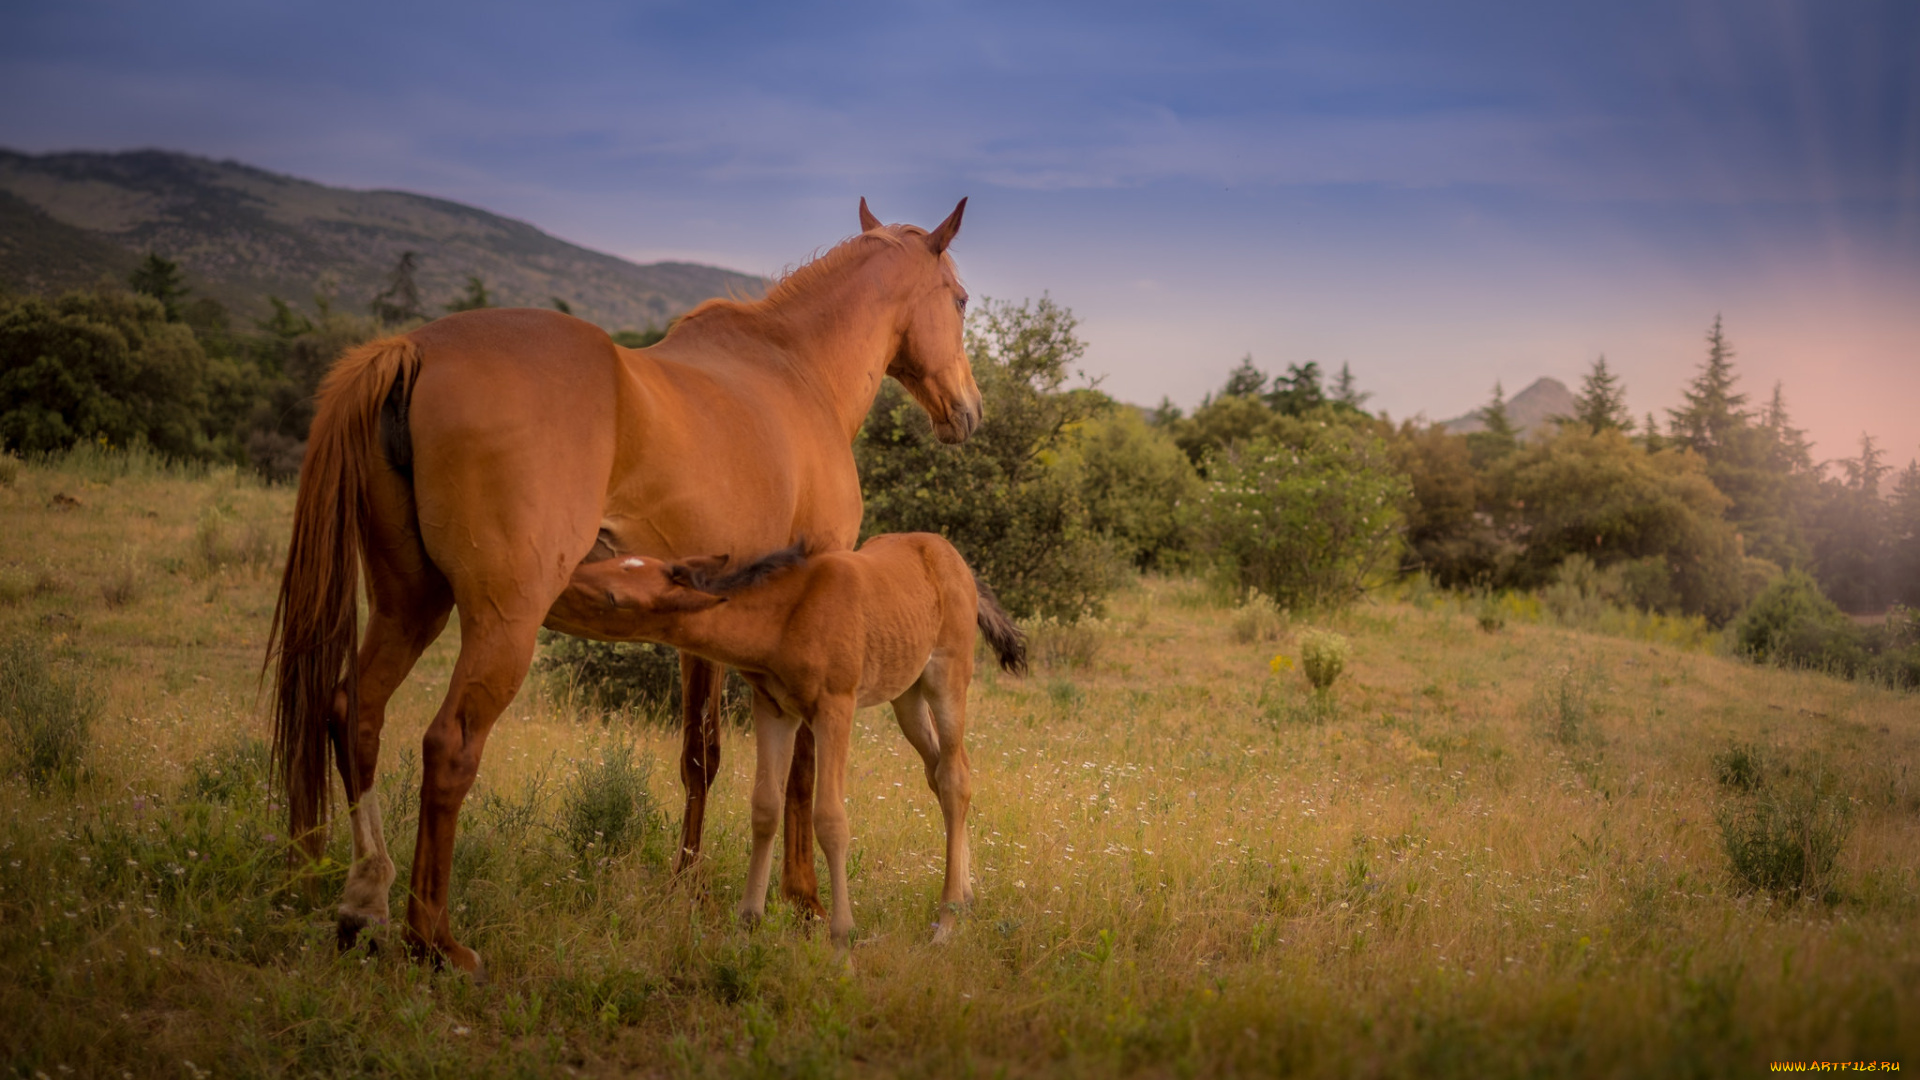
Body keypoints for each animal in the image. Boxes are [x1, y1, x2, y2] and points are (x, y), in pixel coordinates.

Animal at [266, 197, 975, 972]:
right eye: (961, 300)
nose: (967, 410)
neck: (796, 372)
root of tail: (417, 349)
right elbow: (803, 770)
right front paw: (806, 902)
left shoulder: (712, 623)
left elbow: (702, 755)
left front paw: (689, 889)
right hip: (501, 622)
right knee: (448, 746)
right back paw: (437, 940)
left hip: (408, 603)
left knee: (354, 713)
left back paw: (365, 901)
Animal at [549, 530, 1029, 941]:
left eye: (615, 598)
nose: (558, 589)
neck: (786, 617)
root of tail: (959, 563)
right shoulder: (773, 709)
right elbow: (764, 806)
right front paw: (748, 921)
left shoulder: (835, 708)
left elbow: (830, 818)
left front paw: (841, 936)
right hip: (905, 695)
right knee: (940, 772)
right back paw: (966, 898)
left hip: (948, 675)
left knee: (954, 777)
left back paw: (947, 921)